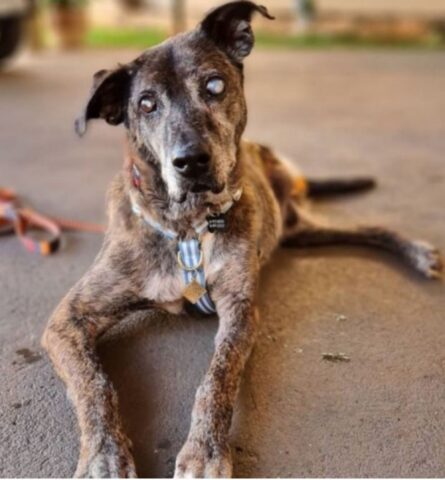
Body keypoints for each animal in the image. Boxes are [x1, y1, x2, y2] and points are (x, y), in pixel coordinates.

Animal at [40, 1, 440, 478]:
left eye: (214, 85)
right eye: (146, 104)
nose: (191, 161)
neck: (187, 227)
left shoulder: (240, 308)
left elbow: (217, 377)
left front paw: (204, 452)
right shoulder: (68, 319)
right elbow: (94, 383)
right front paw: (103, 455)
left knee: (372, 229)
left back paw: (418, 253)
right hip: (300, 233)